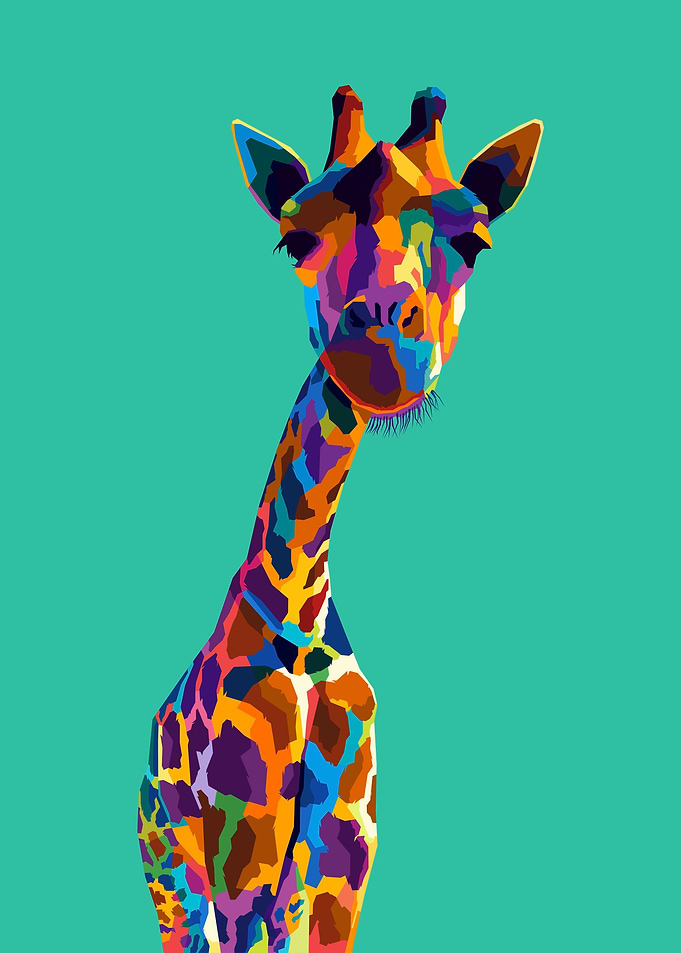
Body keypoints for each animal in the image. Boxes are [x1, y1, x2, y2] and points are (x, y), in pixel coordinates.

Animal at [138, 86, 542, 953]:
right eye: (293, 238)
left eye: (474, 241)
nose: (383, 348)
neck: (300, 620)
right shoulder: (242, 841)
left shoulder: (343, 851)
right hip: (169, 865)